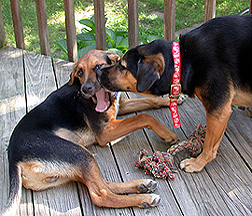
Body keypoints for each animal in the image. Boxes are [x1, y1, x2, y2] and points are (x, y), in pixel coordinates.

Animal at [1, 49, 179, 216]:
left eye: (98, 67)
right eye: (80, 72)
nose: (85, 89)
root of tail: (14, 159)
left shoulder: (121, 106)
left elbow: (148, 100)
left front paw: (171, 99)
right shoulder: (105, 132)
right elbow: (143, 116)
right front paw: (167, 133)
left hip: (72, 169)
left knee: (104, 184)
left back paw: (141, 185)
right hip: (79, 154)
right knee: (101, 194)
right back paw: (144, 198)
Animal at [98, 14, 252, 172]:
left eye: (122, 66)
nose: (98, 72)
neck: (185, 60)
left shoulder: (218, 110)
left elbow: (209, 146)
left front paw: (197, 163)